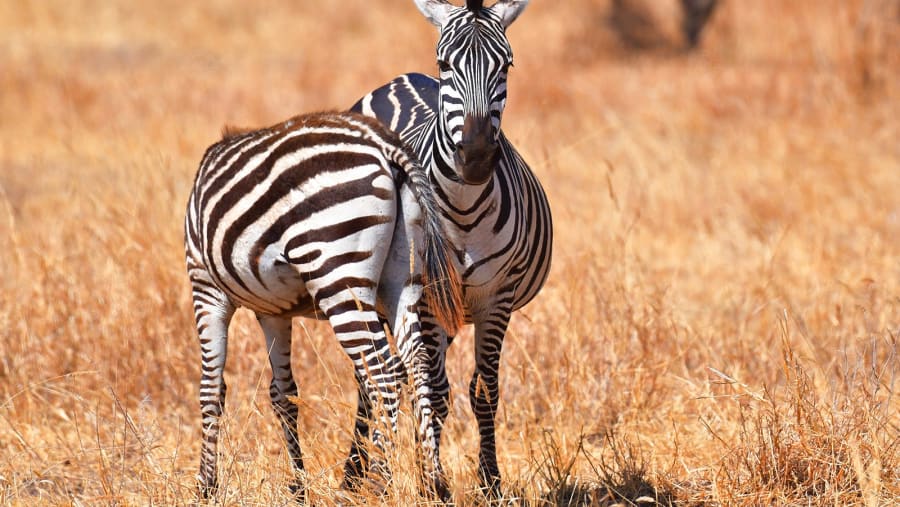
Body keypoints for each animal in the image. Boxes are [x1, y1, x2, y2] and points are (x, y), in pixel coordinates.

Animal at [184, 111, 464, 500]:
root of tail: (384, 143)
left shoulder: (205, 288)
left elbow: (211, 390)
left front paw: (206, 486)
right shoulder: (273, 311)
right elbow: (283, 395)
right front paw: (298, 486)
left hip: (338, 272)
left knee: (384, 375)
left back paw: (377, 484)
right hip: (404, 279)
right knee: (418, 363)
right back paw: (434, 482)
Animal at [351, 0, 552, 498]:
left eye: (506, 65)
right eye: (445, 64)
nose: (476, 157)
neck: (462, 209)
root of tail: (403, 77)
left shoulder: (496, 298)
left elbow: (483, 390)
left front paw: (490, 481)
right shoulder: (424, 298)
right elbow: (434, 390)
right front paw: (430, 482)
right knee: (373, 378)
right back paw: (356, 473)